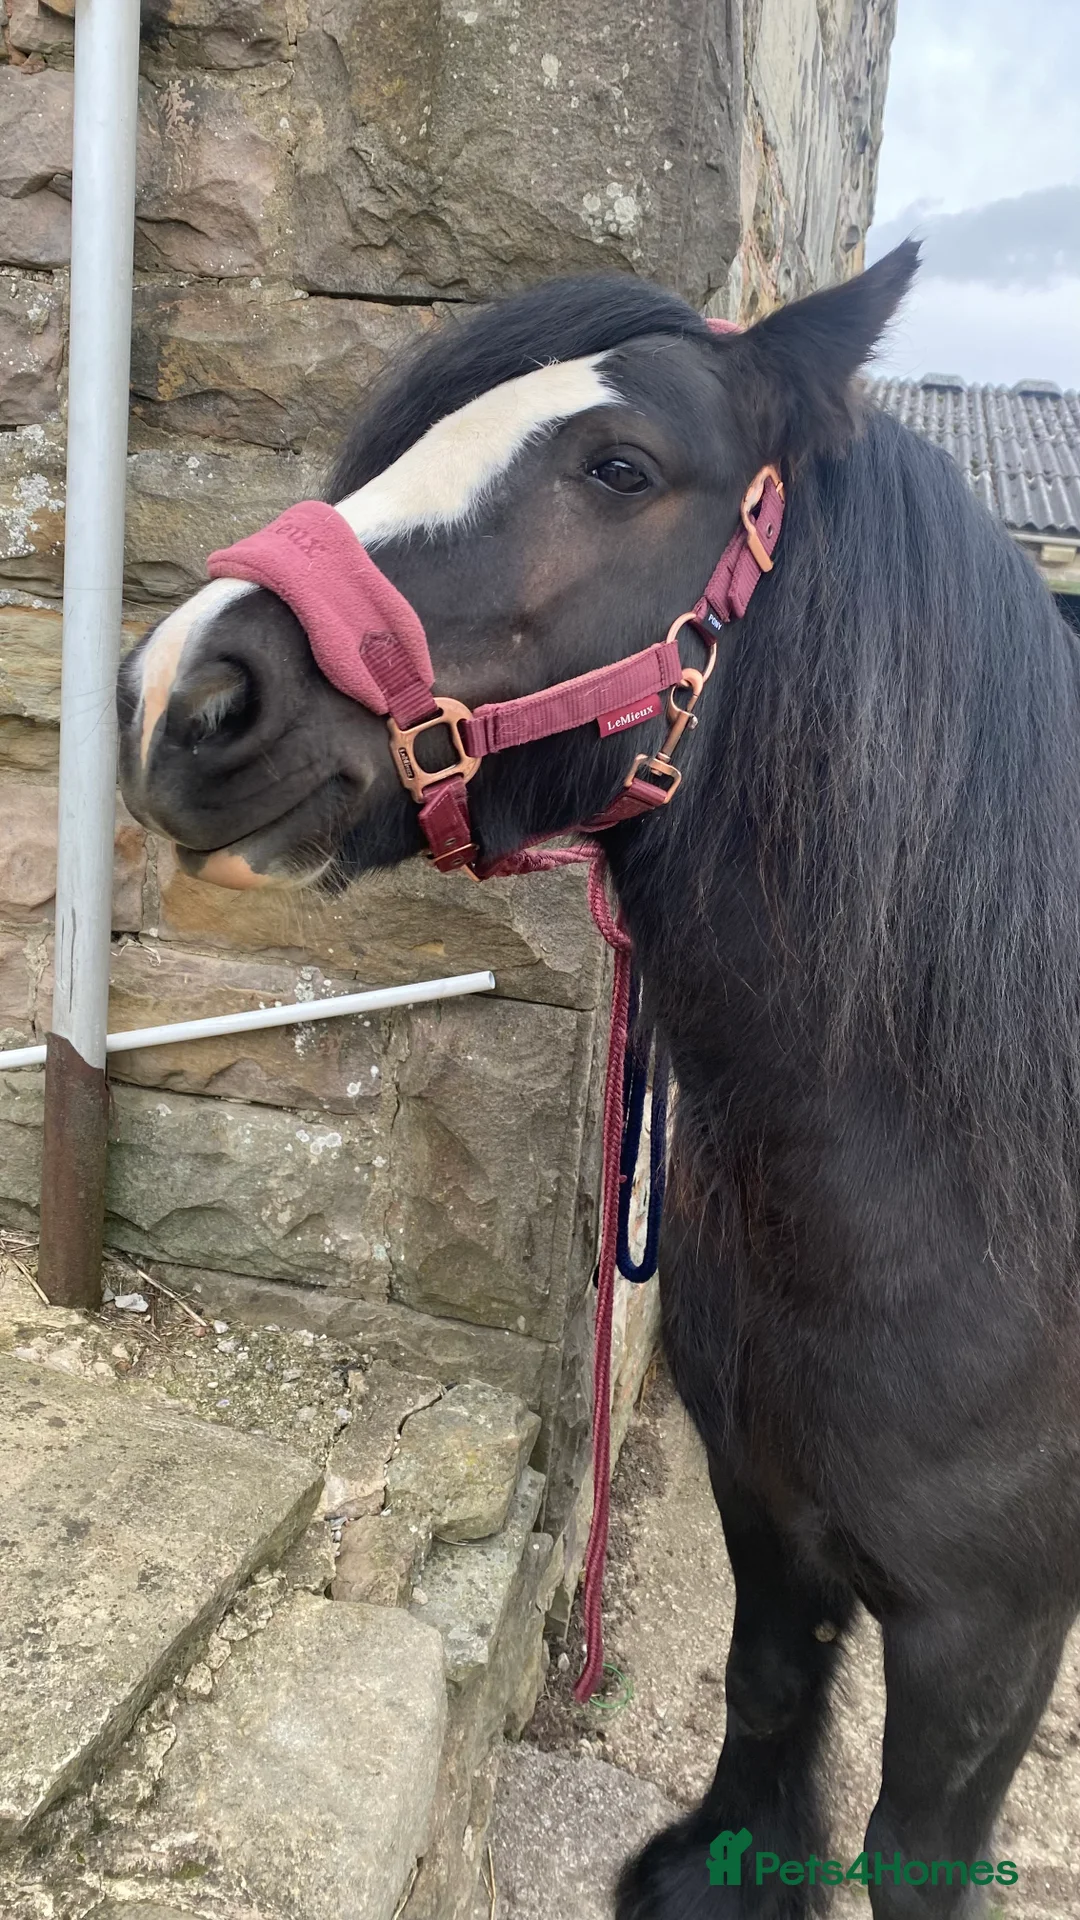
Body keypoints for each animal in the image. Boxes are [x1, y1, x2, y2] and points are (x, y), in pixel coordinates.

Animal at [116, 241, 1080, 1917]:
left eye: (620, 467)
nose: (185, 693)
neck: (963, 1218)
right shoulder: (770, 1514)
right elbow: (766, 1692)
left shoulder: (988, 1637)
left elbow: (917, 1853)